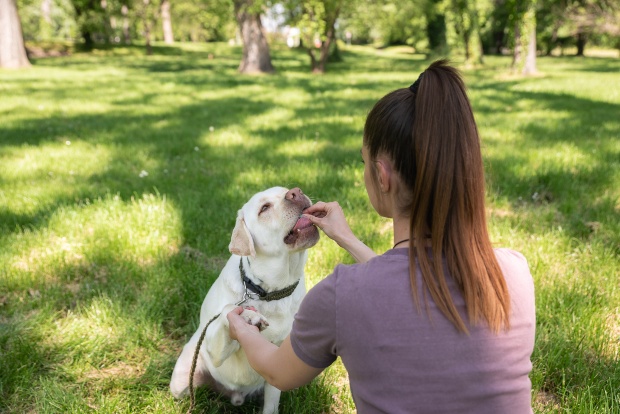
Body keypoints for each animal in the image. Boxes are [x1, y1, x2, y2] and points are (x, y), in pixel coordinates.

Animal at [171, 186, 320, 412]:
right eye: (264, 208)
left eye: (287, 190)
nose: (296, 192)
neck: (269, 291)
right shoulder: (215, 350)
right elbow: (228, 310)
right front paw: (248, 317)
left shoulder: (277, 365)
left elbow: (270, 406)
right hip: (180, 382)